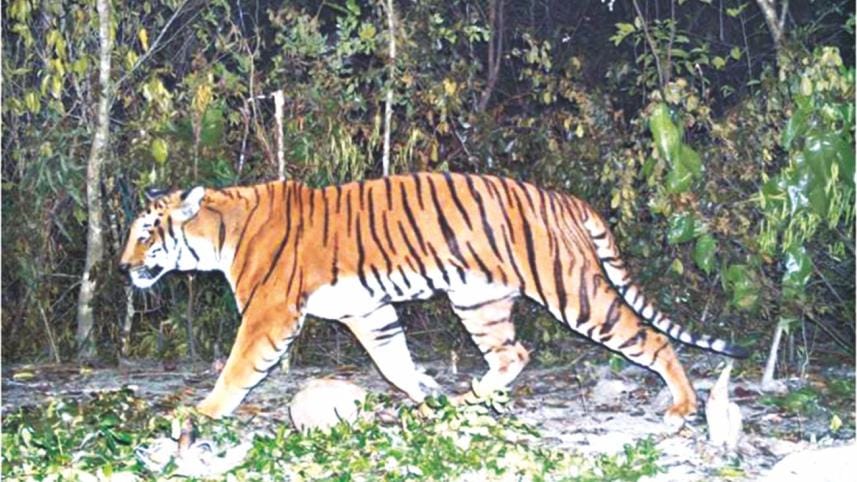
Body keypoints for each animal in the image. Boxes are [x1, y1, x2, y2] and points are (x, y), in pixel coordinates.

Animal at [119, 172, 748, 426]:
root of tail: (566, 198)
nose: (124, 267)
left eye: (146, 233)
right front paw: (426, 394)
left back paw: (683, 406)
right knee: (513, 354)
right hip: (478, 300)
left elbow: (237, 368)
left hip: (575, 293)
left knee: (652, 339)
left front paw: (203, 412)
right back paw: (466, 400)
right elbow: (394, 362)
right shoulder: (367, 309)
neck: (218, 233)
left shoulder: (269, 313)